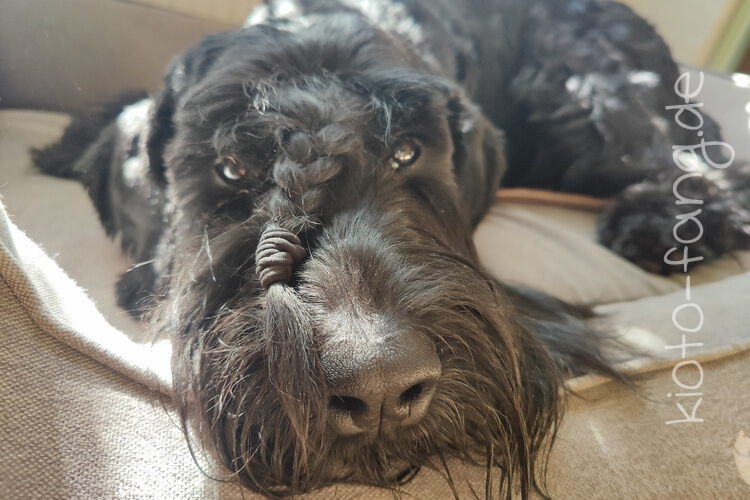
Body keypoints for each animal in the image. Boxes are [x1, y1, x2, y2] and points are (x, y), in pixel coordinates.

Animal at [34, 0, 750, 497]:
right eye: (232, 168)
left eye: (408, 151)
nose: (379, 388)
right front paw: (73, 146)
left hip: (588, 94)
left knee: (699, 160)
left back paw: (663, 224)